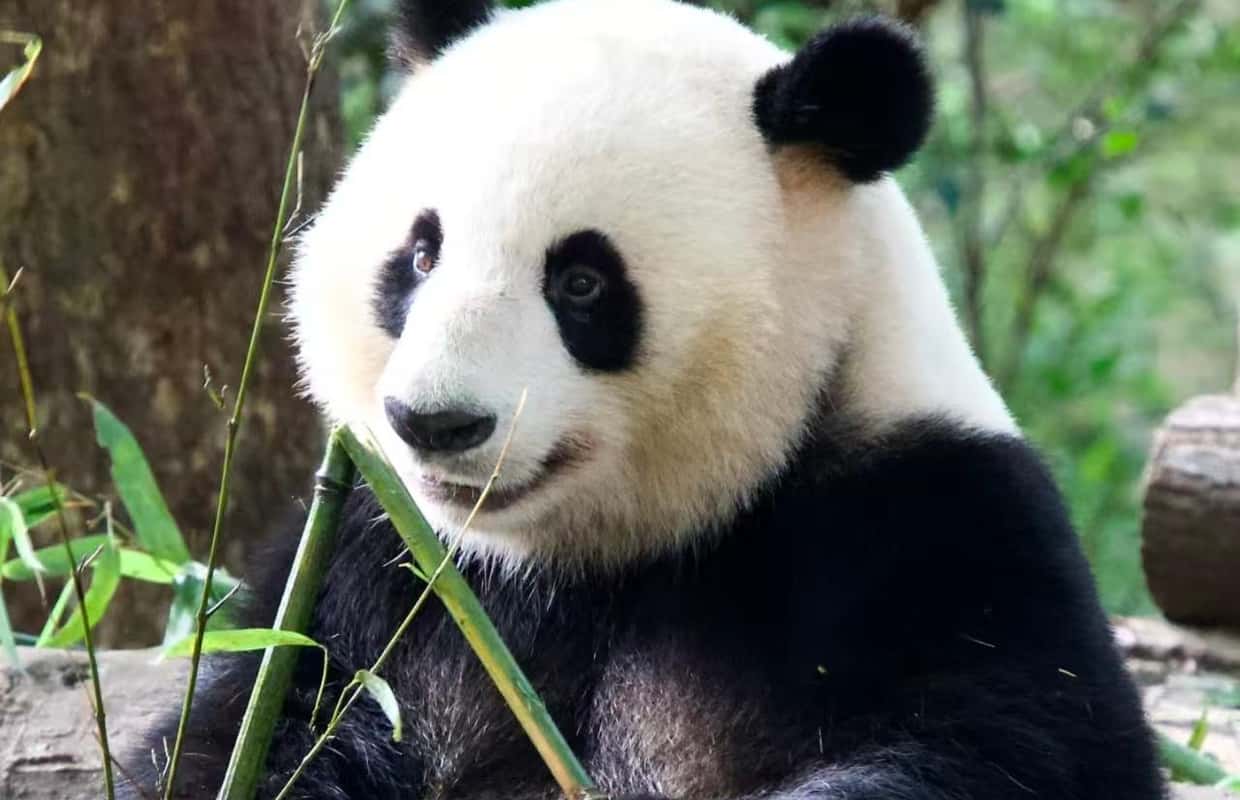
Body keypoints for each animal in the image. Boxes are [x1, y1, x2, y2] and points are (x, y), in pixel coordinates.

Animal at [125, 1, 1166, 798]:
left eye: (582, 283)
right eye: (420, 255)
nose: (436, 423)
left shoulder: (932, 521)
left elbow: (1026, 743)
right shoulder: (373, 565)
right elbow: (255, 729)